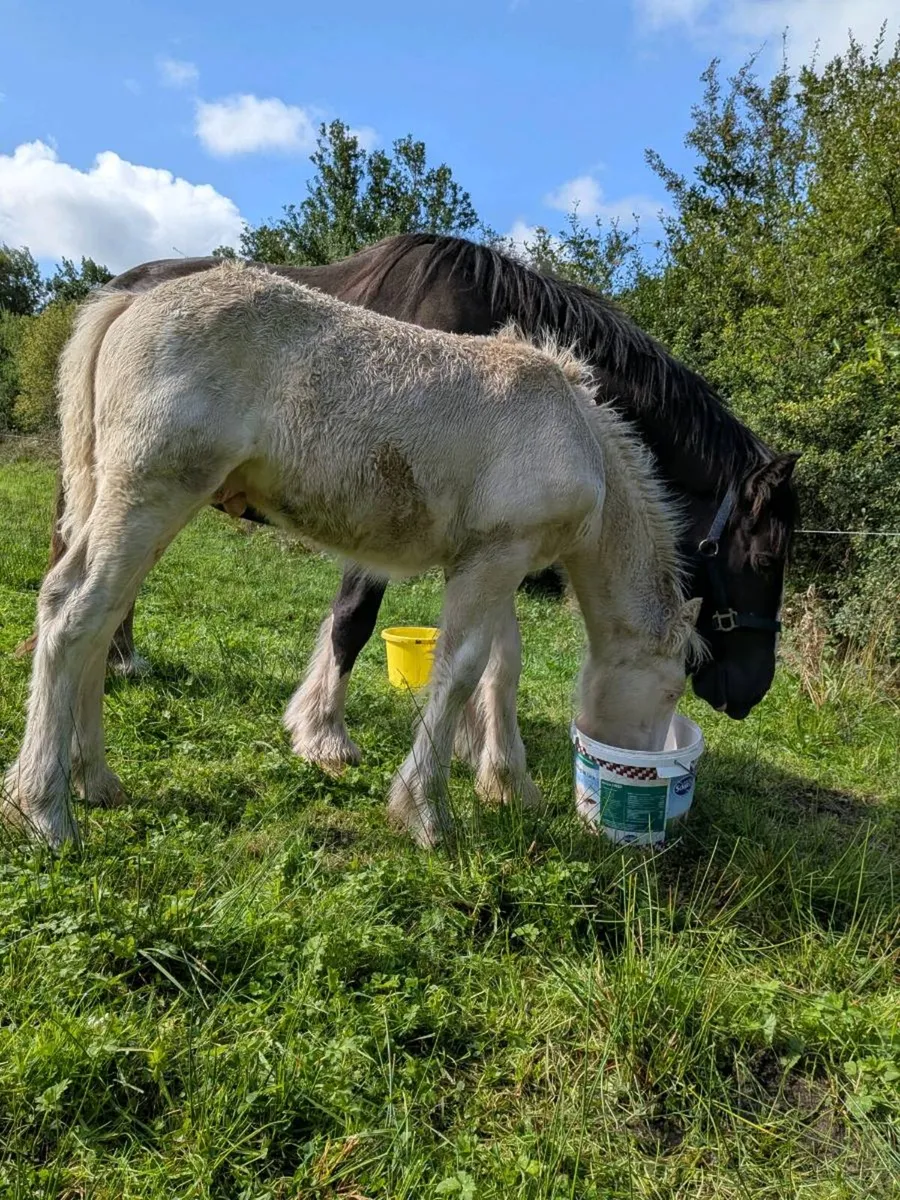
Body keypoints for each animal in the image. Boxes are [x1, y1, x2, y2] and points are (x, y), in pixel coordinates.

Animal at [3, 263, 704, 850]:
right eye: (672, 689)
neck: (574, 432)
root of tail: (130, 301)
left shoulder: (491, 559)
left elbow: (501, 668)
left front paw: (508, 786)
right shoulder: (495, 559)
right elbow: (460, 670)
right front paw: (427, 814)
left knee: (95, 617)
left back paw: (94, 779)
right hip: (152, 492)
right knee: (74, 615)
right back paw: (44, 809)